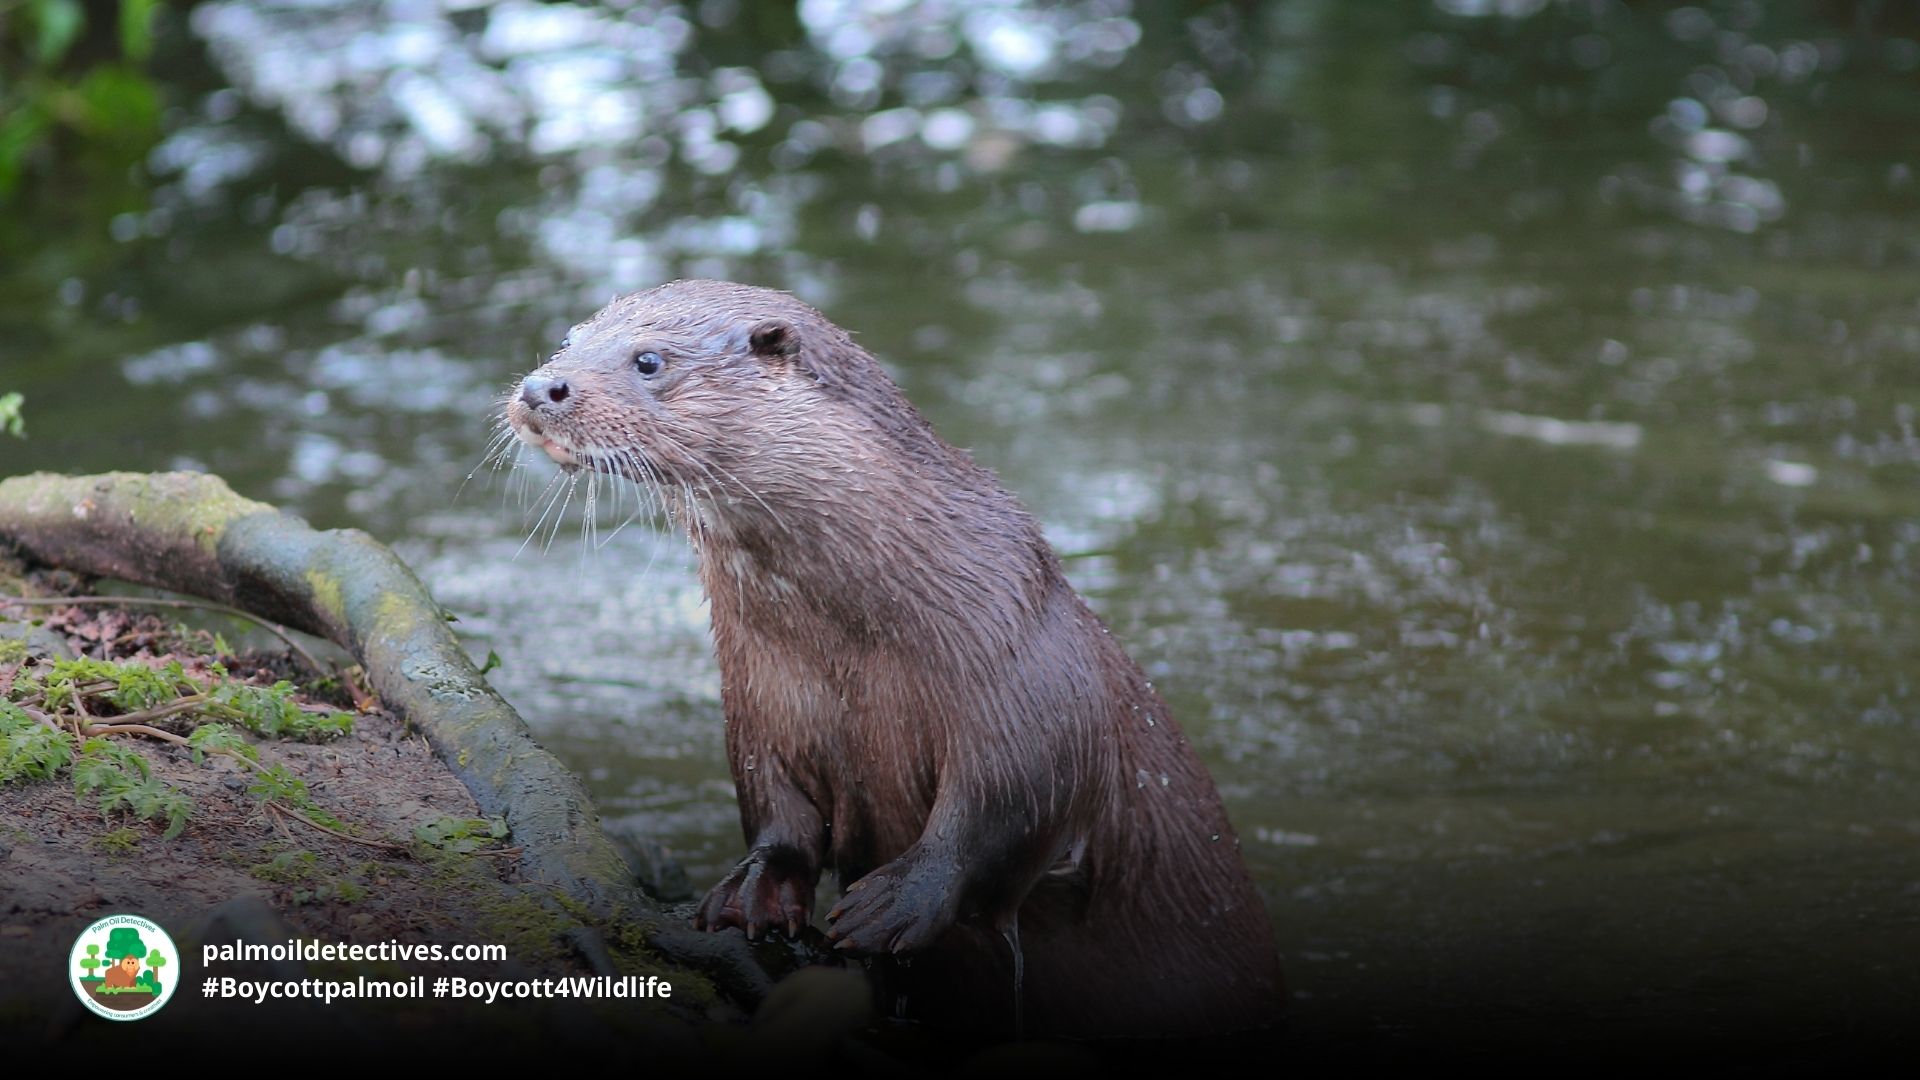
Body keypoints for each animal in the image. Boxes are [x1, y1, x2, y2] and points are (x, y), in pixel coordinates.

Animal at [505, 279, 1283, 1038]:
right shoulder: (761, 695)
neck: (871, 629)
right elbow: (775, 804)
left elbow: (1005, 810)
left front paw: (897, 904)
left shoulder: (1026, 682)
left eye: (648, 360)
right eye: (567, 339)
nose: (542, 387)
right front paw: (754, 891)